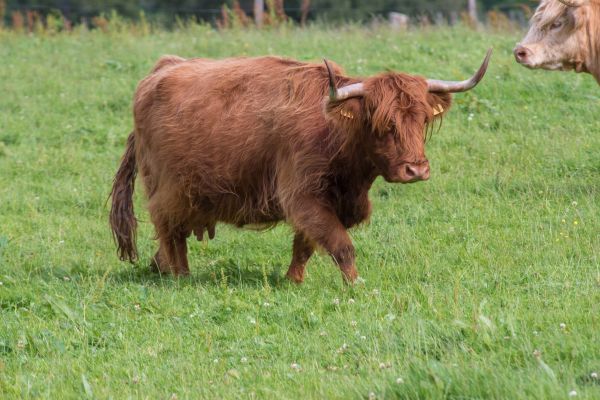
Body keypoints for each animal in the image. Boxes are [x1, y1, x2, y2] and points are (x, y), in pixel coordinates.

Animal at [110, 49, 490, 282]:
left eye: (422, 120)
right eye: (383, 123)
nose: (416, 170)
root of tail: (163, 67)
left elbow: (305, 244)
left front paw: (293, 280)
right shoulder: (302, 194)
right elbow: (339, 243)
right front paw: (355, 284)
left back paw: (160, 269)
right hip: (168, 189)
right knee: (170, 232)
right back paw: (181, 276)